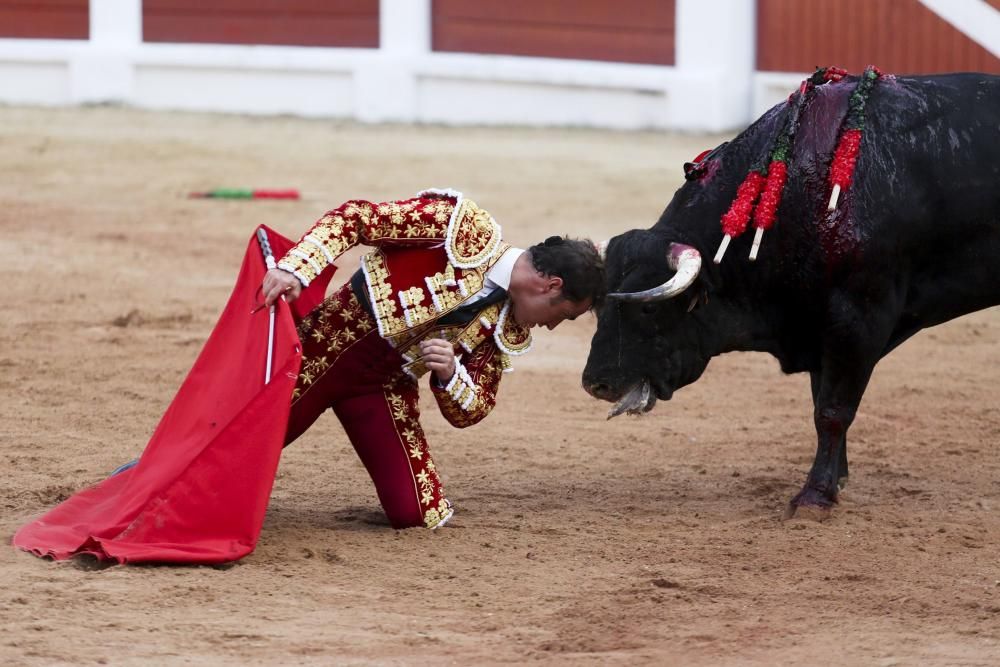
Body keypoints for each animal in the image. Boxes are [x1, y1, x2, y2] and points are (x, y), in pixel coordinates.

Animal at [584, 73, 996, 516]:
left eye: (647, 309)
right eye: (600, 305)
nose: (595, 384)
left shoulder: (858, 317)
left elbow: (833, 410)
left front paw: (815, 496)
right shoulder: (819, 322)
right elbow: (821, 401)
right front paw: (838, 479)